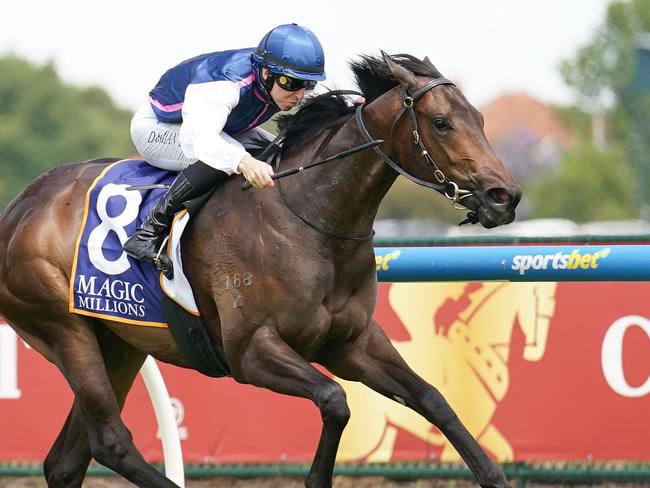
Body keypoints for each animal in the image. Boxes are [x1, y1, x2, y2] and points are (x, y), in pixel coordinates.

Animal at [0, 51, 520, 486]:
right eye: (441, 123)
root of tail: (19, 206)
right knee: (112, 440)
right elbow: (334, 402)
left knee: (68, 460)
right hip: (64, 330)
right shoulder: (250, 351)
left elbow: (432, 398)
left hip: (119, 341)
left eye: (479, 119)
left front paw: (493, 475)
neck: (309, 217)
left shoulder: (352, 342)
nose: (505, 196)